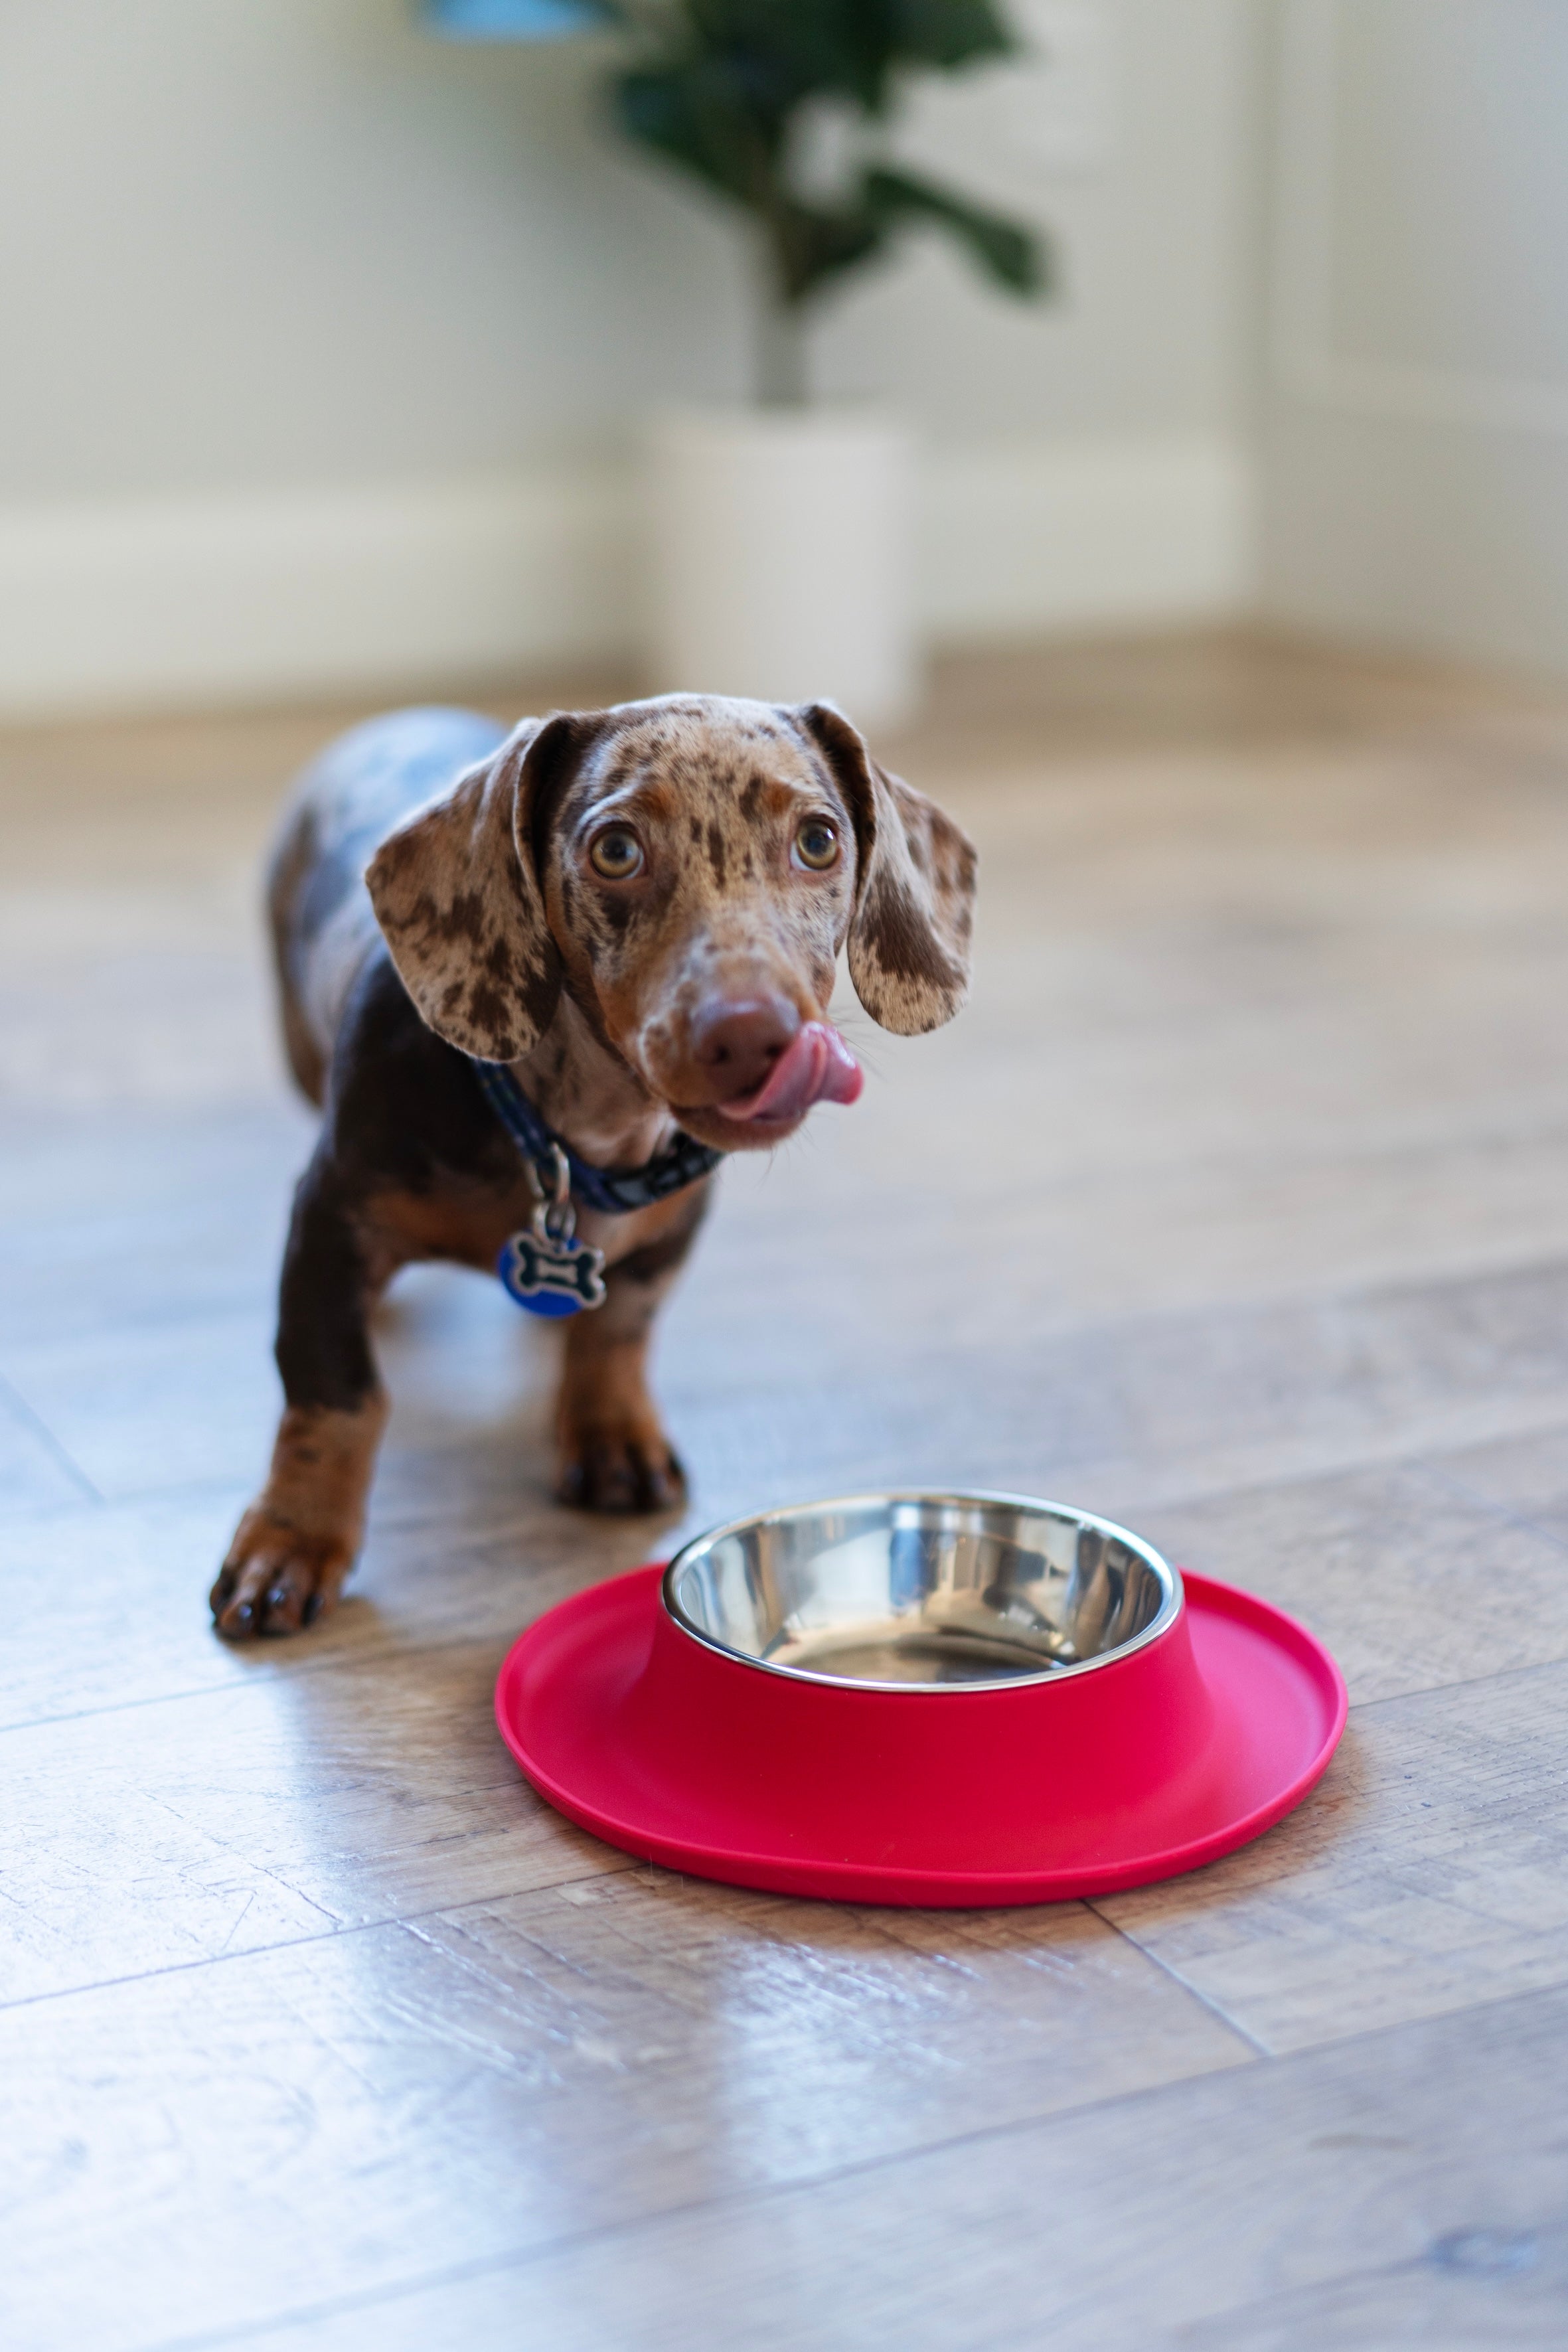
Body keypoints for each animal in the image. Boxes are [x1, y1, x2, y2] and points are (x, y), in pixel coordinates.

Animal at [215, 700, 973, 1636]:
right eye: (615, 850)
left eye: (819, 840)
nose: (751, 1037)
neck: (575, 1139)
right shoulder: (328, 1221)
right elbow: (335, 1391)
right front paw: (293, 1540)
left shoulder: (668, 1236)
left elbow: (618, 1336)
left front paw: (612, 1436)